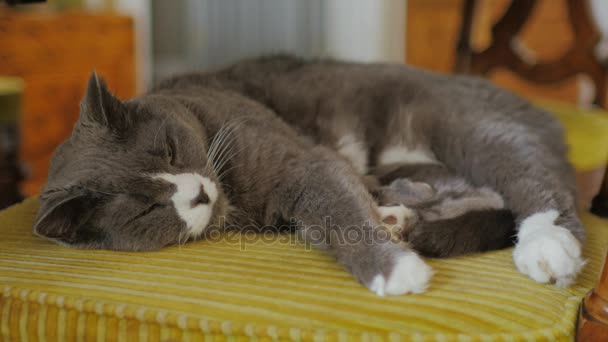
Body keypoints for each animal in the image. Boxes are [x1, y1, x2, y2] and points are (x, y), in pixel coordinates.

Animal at [35, 56, 588, 296]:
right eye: (147, 208)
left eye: (171, 150)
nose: (197, 195)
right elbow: (335, 209)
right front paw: (393, 225)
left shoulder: (302, 159)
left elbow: (338, 210)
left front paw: (394, 271)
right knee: (480, 193)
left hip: (468, 126)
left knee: (533, 179)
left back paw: (548, 246)